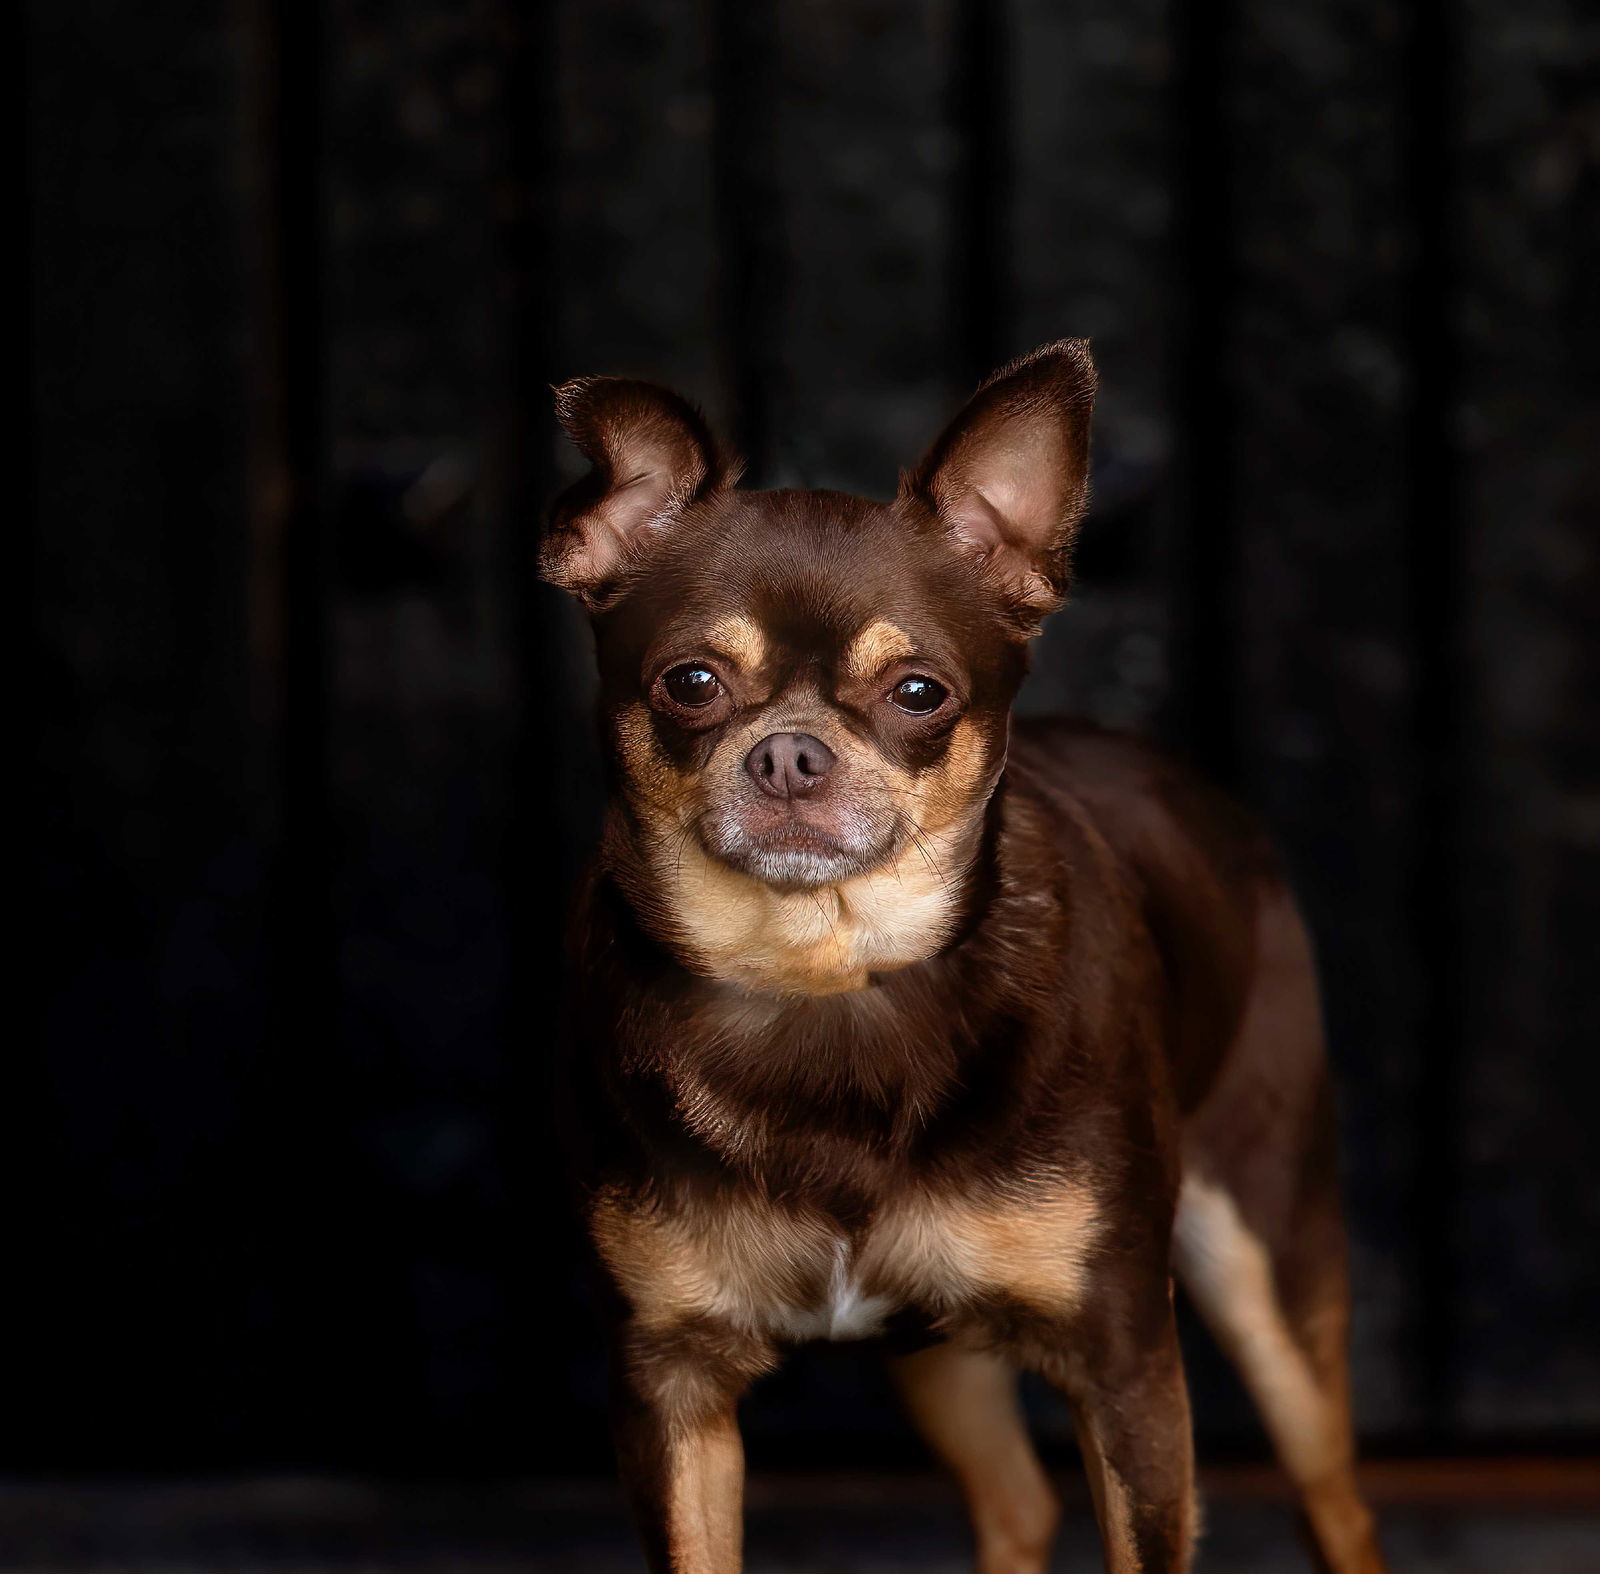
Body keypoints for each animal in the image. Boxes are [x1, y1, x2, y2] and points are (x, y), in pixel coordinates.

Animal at [540, 343, 1388, 1574]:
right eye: (690, 683)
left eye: (918, 694)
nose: (789, 752)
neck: (825, 978)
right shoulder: (670, 1384)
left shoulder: (1125, 1362)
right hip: (934, 1349)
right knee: (1015, 1501)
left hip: (1268, 1271)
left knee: (1332, 1497)